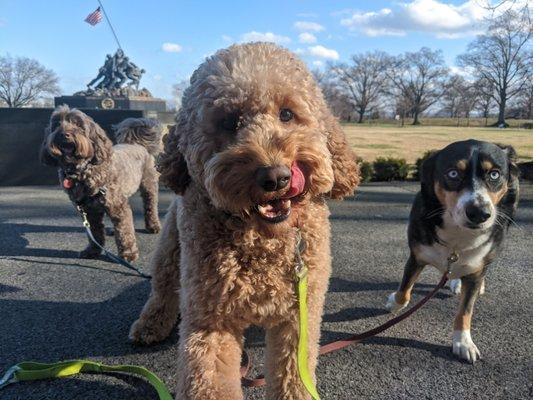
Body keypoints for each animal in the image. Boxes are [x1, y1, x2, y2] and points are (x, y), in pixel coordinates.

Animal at [39, 106, 162, 260]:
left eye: (78, 124)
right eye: (56, 124)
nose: (63, 134)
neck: (82, 171)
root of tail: (136, 144)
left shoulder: (118, 206)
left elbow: (125, 231)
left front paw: (128, 253)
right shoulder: (88, 211)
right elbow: (95, 233)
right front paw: (92, 251)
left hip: (148, 185)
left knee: (150, 206)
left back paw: (153, 226)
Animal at [130, 42, 360, 398]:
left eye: (287, 114)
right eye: (229, 122)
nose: (276, 177)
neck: (262, 237)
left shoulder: (299, 315)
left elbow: (293, 377)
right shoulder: (211, 318)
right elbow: (209, 381)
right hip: (171, 247)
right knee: (163, 285)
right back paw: (150, 324)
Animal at [384, 140, 516, 362]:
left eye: (494, 174)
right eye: (453, 173)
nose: (479, 213)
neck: (458, 236)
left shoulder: (476, 268)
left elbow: (465, 310)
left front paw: (463, 342)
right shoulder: (416, 256)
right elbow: (405, 290)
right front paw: (394, 302)